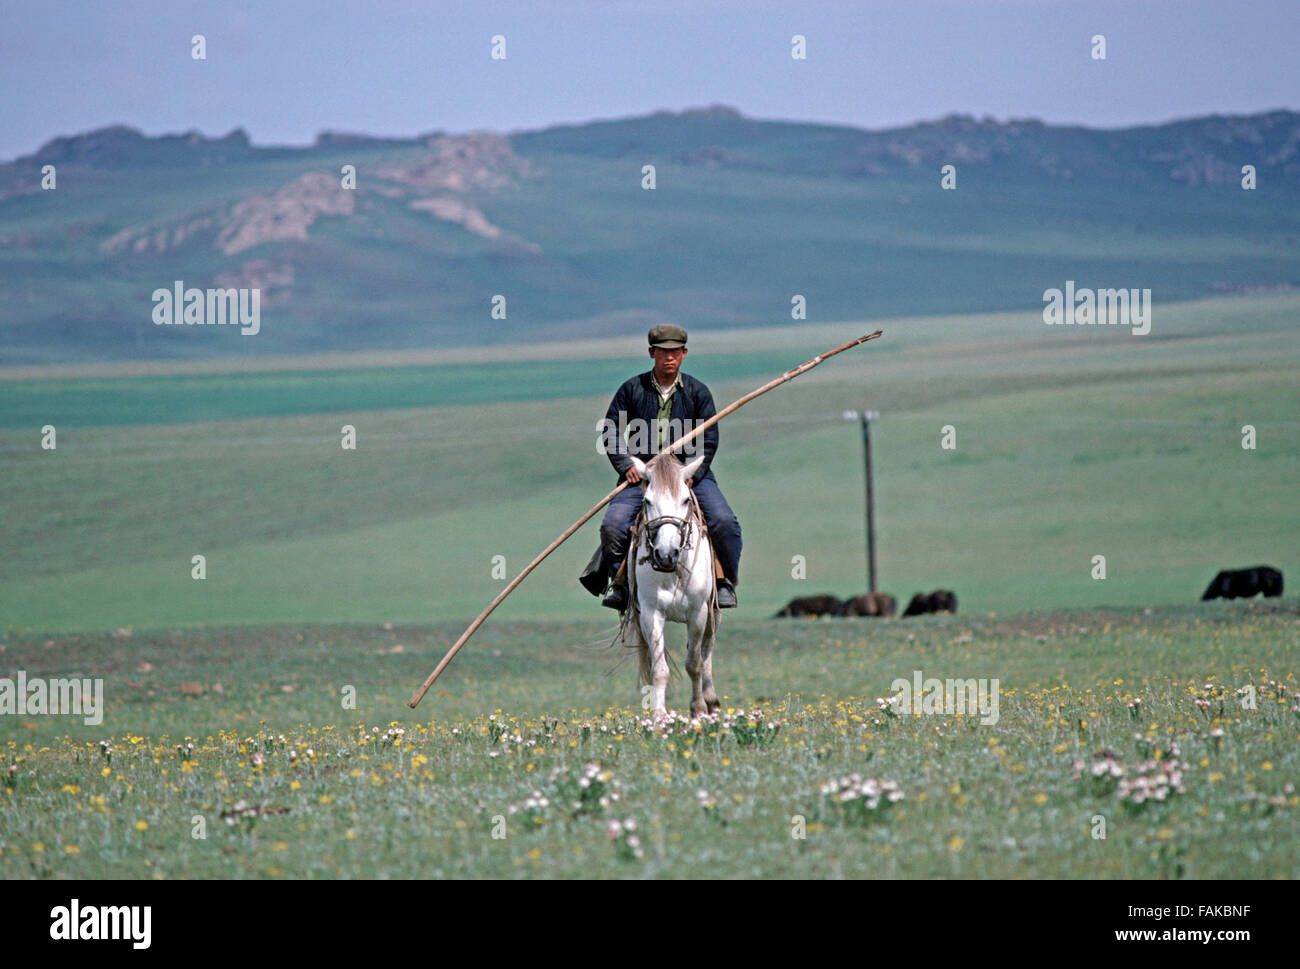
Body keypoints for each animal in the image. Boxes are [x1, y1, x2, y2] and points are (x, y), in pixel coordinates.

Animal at [618, 452, 722, 717]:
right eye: (647, 500)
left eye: (685, 500)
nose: (666, 555)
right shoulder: (651, 613)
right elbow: (659, 669)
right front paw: (659, 717)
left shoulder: (698, 613)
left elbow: (694, 663)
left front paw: (698, 710)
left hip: (713, 612)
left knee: (707, 649)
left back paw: (712, 701)